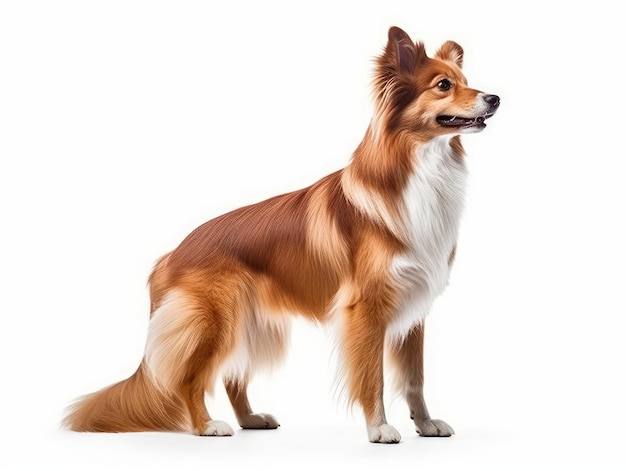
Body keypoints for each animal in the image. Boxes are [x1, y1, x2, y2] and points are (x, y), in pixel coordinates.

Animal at [64, 25, 498, 444]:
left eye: (466, 81)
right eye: (443, 85)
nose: (494, 98)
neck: (420, 168)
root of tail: (171, 254)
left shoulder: (413, 309)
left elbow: (414, 378)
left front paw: (425, 424)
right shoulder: (366, 308)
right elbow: (371, 377)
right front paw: (379, 429)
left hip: (252, 324)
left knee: (232, 375)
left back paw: (250, 419)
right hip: (216, 320)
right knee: (191, 378)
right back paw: (207, 426)